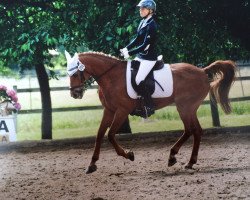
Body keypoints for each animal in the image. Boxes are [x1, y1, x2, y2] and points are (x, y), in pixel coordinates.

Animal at [65, 51, 236, 173]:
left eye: (75, 73)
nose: (75, 94)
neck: (111, 77)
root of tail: (202, 71)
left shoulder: (122, 111)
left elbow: (111, 135)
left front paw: (129, 155)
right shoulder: (109, 110)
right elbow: (100, 135)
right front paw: (92, 164)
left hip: (185, 107)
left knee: (190, 130)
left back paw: (173, 156)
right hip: (189, 108)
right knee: (196, 131)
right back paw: (189, 162)